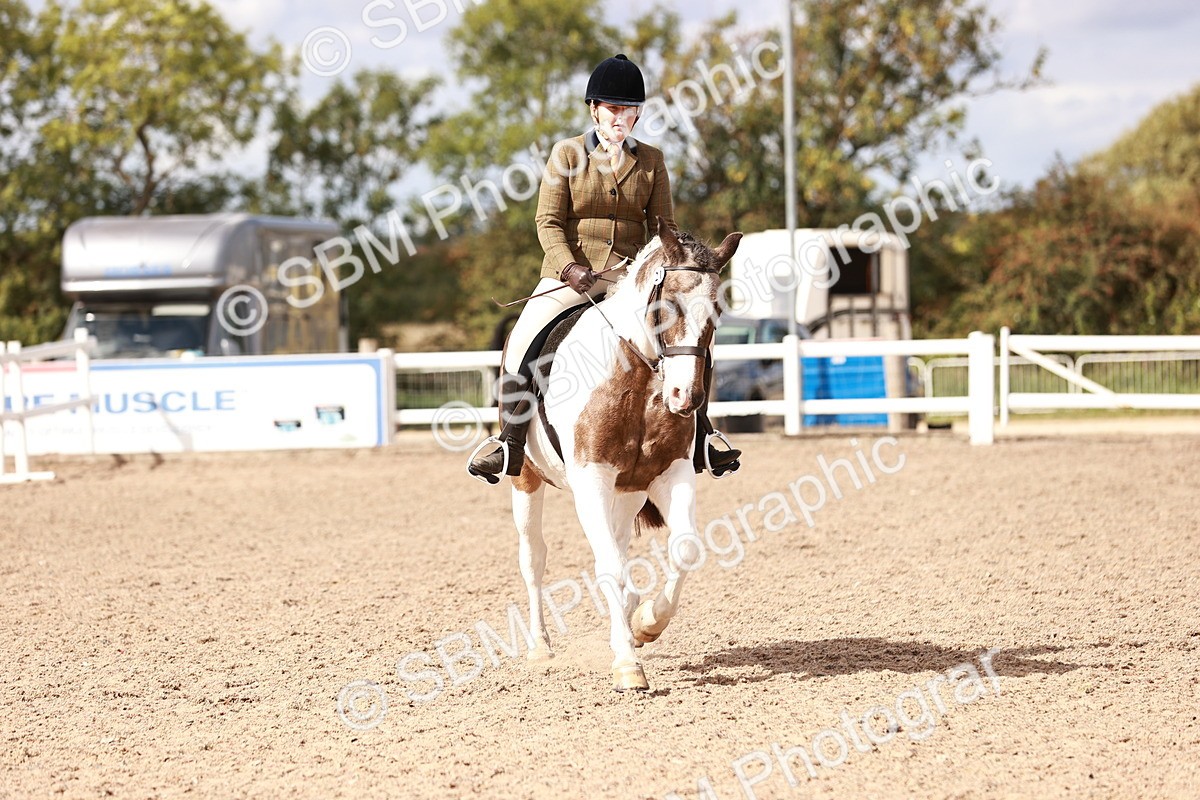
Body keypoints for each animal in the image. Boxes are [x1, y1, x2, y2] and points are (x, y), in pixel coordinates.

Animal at [502, 218, 741, 692]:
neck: (638, 377)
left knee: (618, 543)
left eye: (715, 313)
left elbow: (685, 548)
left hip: (628, 490)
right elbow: (609, 566)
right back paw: (540, 647)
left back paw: (630, 615)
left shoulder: (670, 474)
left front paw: (648, 623)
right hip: (527, 480)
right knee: (534, 558)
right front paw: (629, 664)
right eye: (667, 307)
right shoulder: (591, 480)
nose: (685, 398)